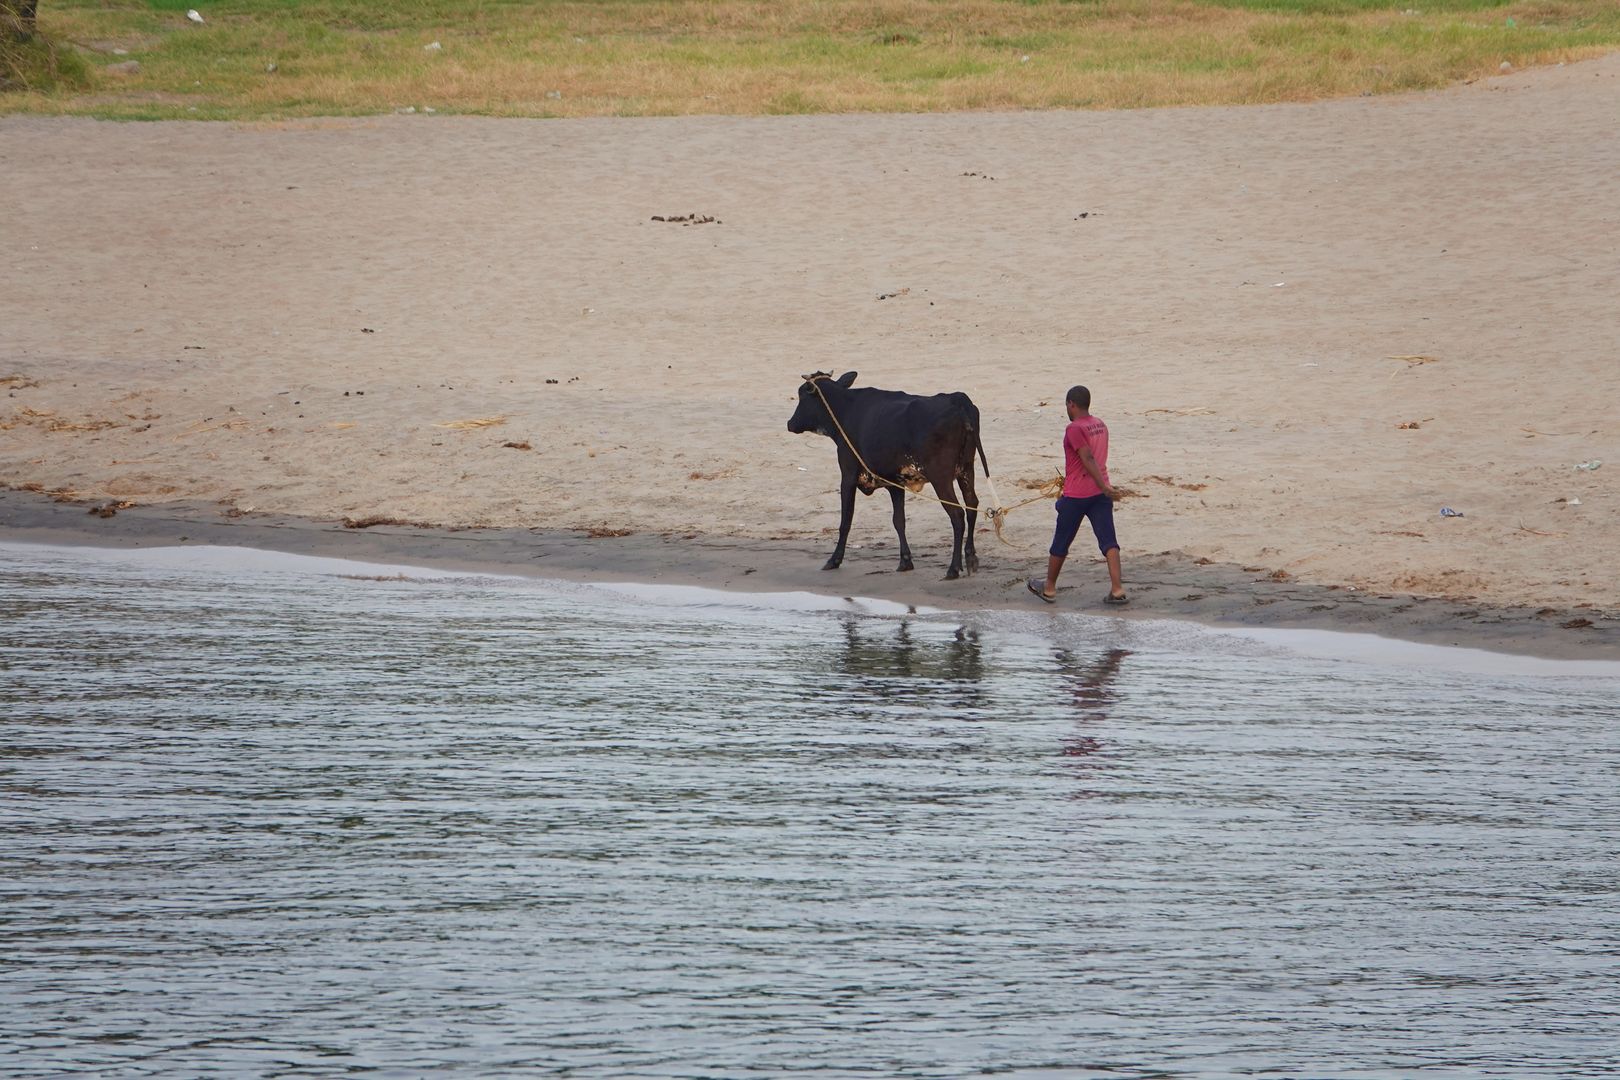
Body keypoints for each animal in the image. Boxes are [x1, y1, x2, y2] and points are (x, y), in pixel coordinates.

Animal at [784, 372, 984, 579]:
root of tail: (956, 399)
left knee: (957, 515)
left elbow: (846, 520)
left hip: (941, 478)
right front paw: (905, 561)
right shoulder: (895, 482)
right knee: (972, 506)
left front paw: (834, 560)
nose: (790, 423)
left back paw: (953, 568)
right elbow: (899, 520)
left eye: (801, 396)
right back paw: (970, 557)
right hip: (966, 470)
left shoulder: (847, 475)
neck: (845, 411)